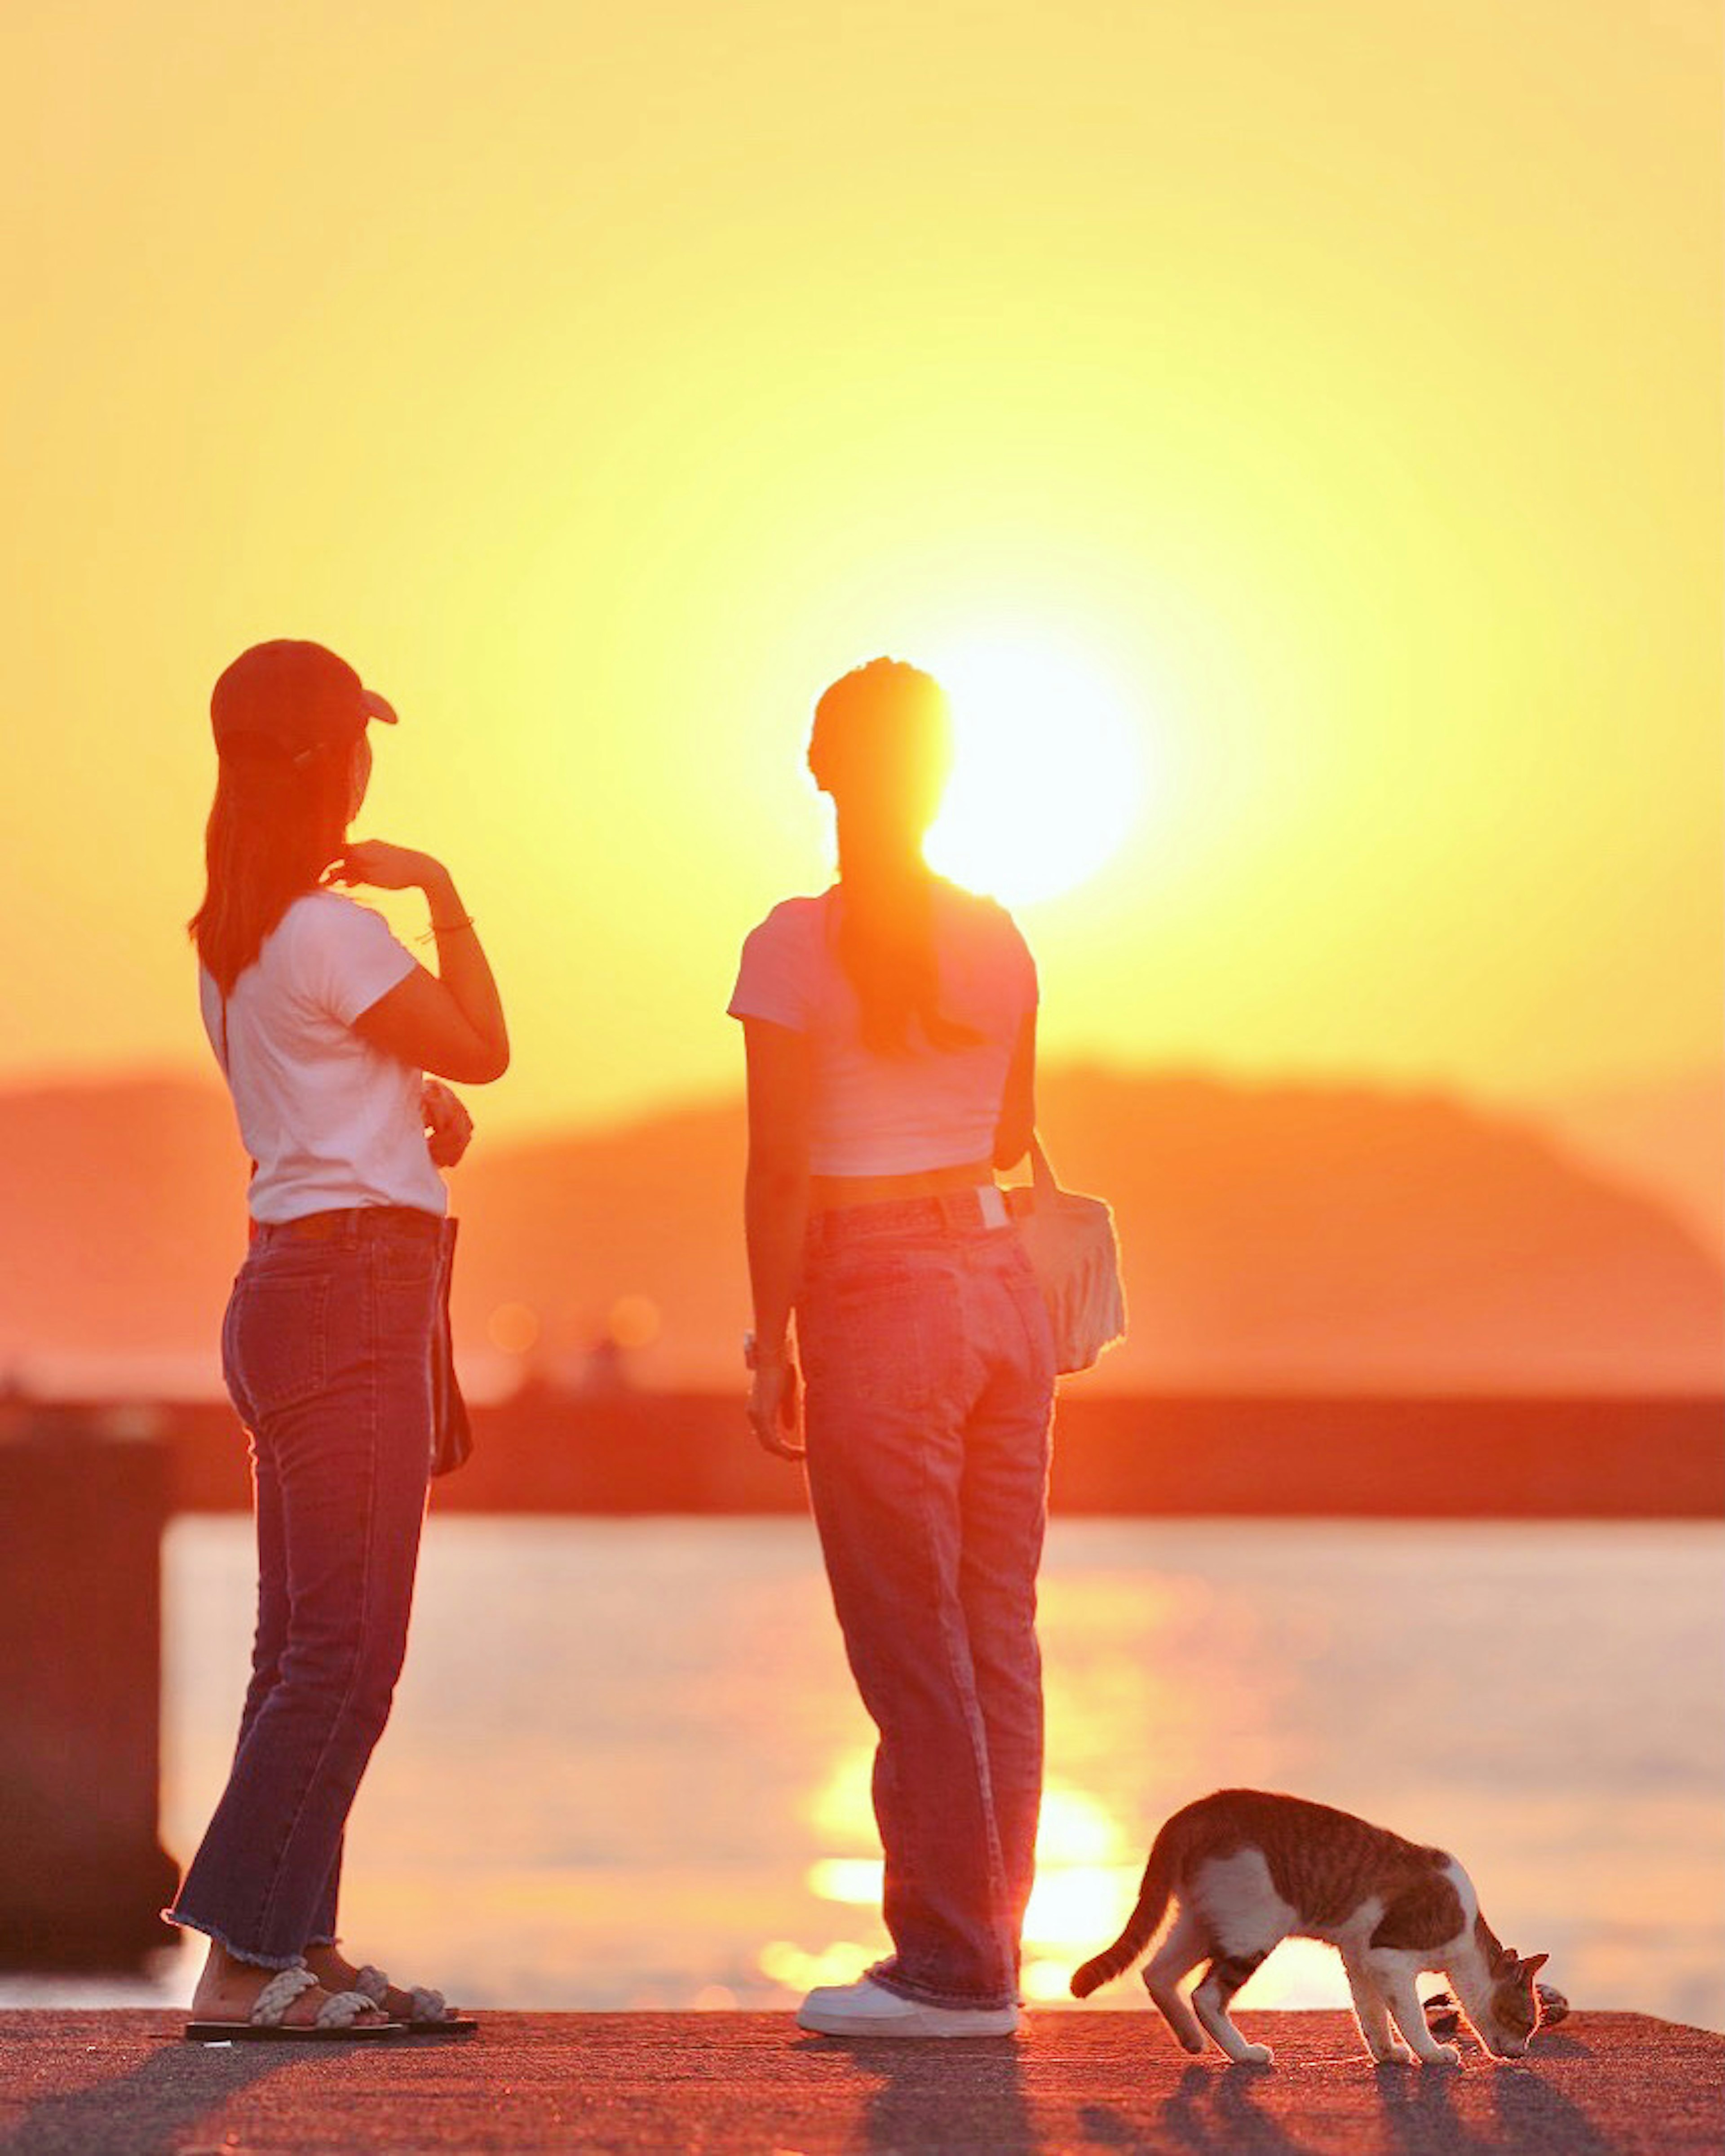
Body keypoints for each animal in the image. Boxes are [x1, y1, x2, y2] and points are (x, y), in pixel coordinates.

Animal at [1065, 1785, 1552, 2070]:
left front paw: (1388, 2053)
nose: (1525, 2050)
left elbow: (1372, 2014)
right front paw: (1432, 2053)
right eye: (1529, 2020)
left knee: (1157, 1973)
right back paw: (1244, 2052)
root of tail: (1193, 1812)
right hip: (1254, 1927)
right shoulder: (1388, 1956)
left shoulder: (1361, 1958)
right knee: (1206, 1996)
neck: (1465, 1930)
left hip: (1200, 1923)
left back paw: (1190, 2040)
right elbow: (1410, 2015)